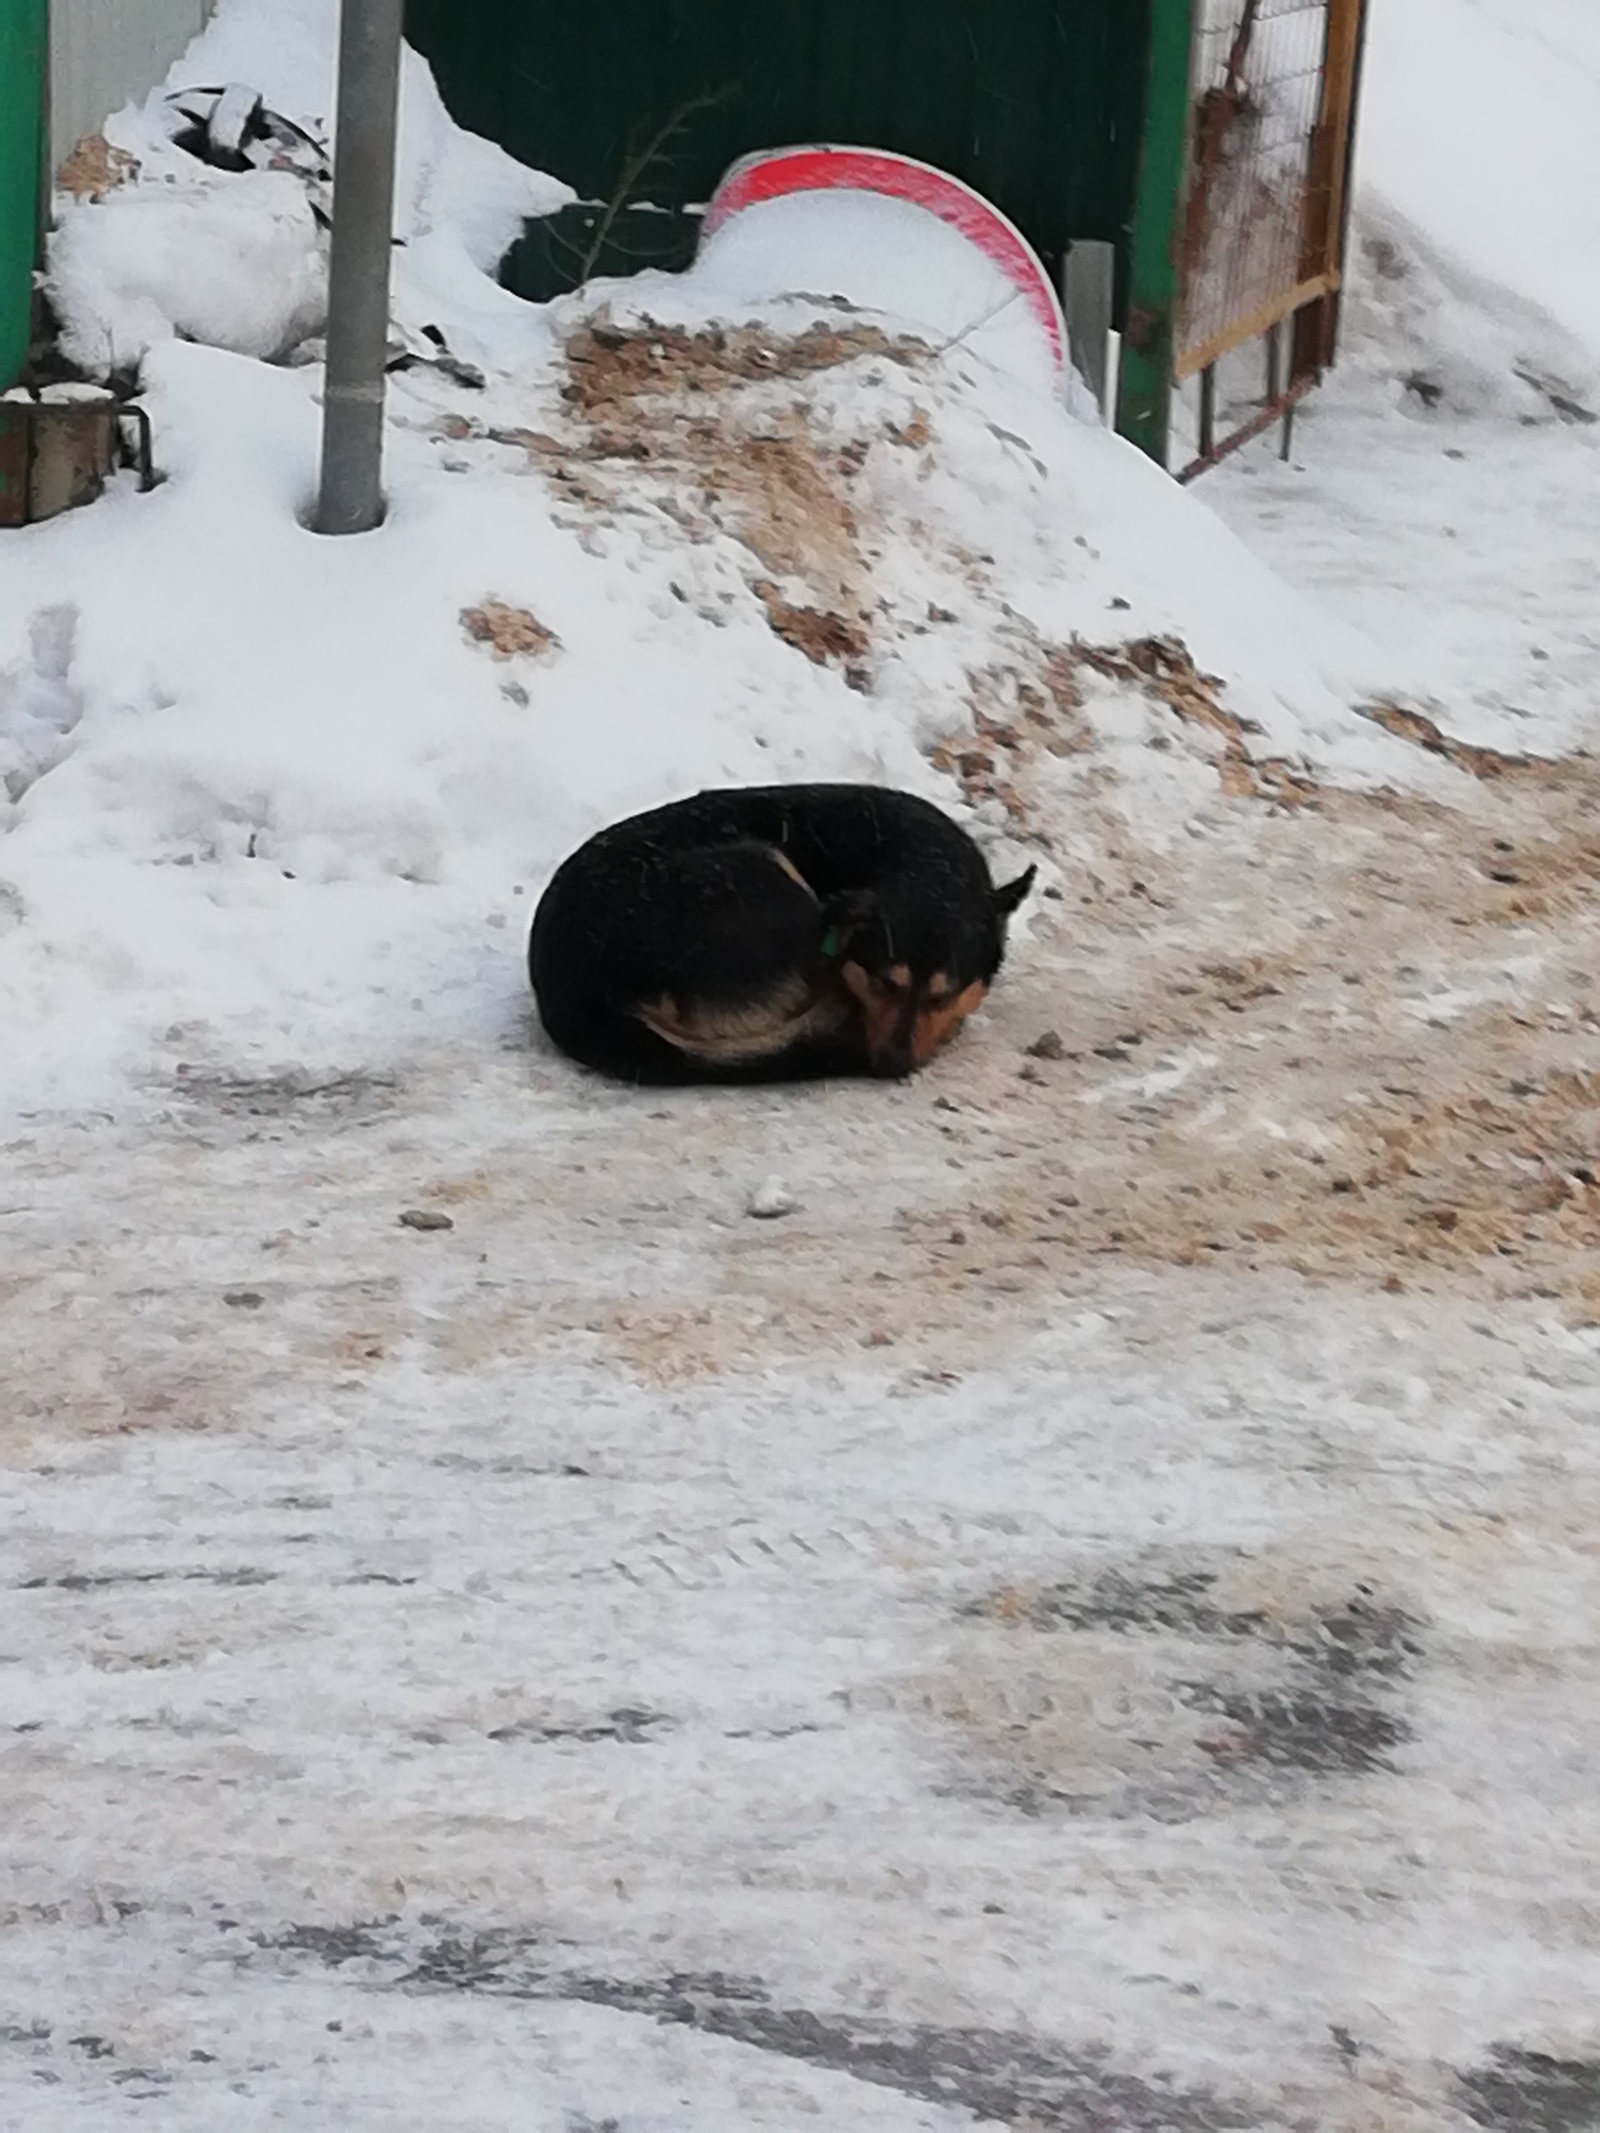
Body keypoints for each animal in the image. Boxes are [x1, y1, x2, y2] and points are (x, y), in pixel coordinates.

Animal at [529, 784, 1041, 1083]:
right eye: (881, 981)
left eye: (942, 993)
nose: (891, 1067)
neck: (929, 863)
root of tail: (584, 1001)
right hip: (769, 872)